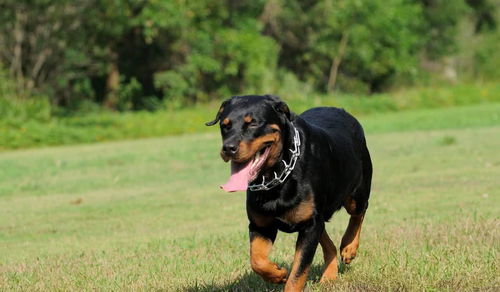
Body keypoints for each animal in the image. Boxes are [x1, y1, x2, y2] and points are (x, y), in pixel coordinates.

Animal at [205, 94, 374, 290]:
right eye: (225, 125)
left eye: (253, 123)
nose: (228, 148)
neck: (277, 175)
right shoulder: (260, 224)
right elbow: (257, 260)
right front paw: (277, 274)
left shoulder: (309, 225)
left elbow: (298, 272)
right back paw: (329, 275)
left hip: (357, 191)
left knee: (359, 212)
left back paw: (349, 247)